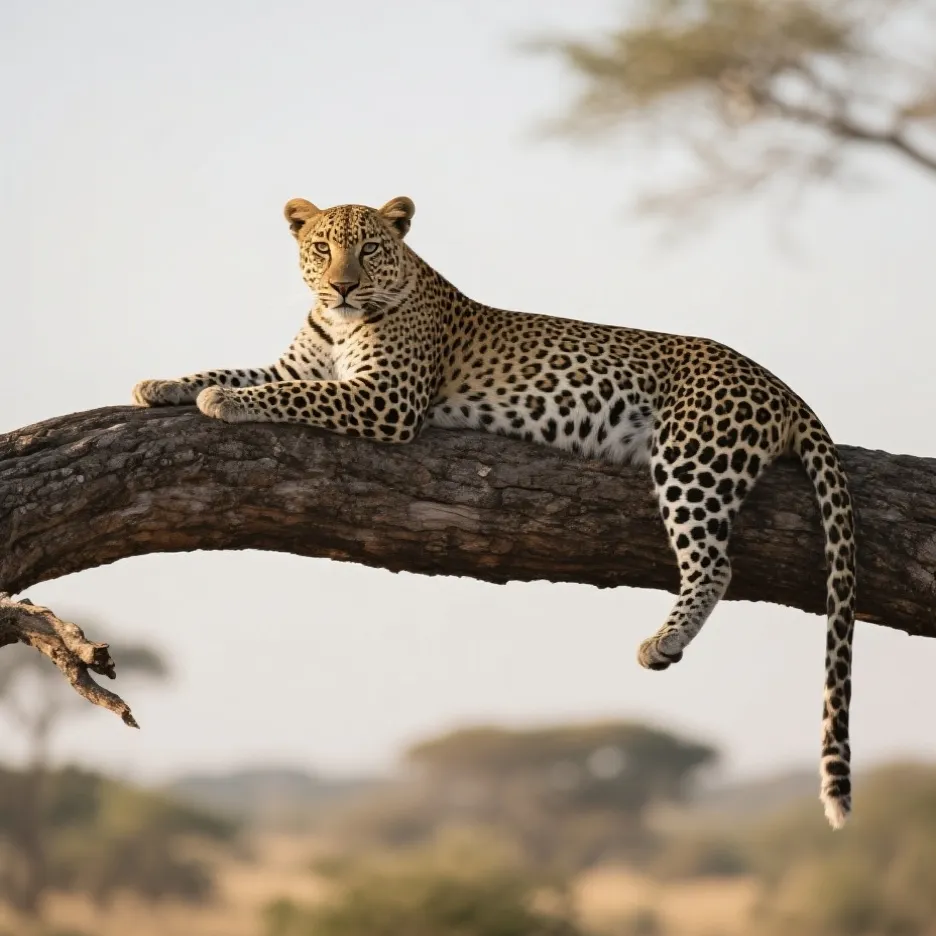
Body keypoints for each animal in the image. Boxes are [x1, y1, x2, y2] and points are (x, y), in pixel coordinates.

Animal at [133, 195, 857, 829]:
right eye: (321, 248)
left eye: (369, 249)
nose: (340, 287)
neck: (337, 323)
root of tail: (779, 385)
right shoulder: (300, 363)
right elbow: (242, 369)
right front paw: (163, 383)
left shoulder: (384, 397)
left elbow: (290, 394)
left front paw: (223, 401)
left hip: (691, 457)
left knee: (714, 564)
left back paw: (664, 641)